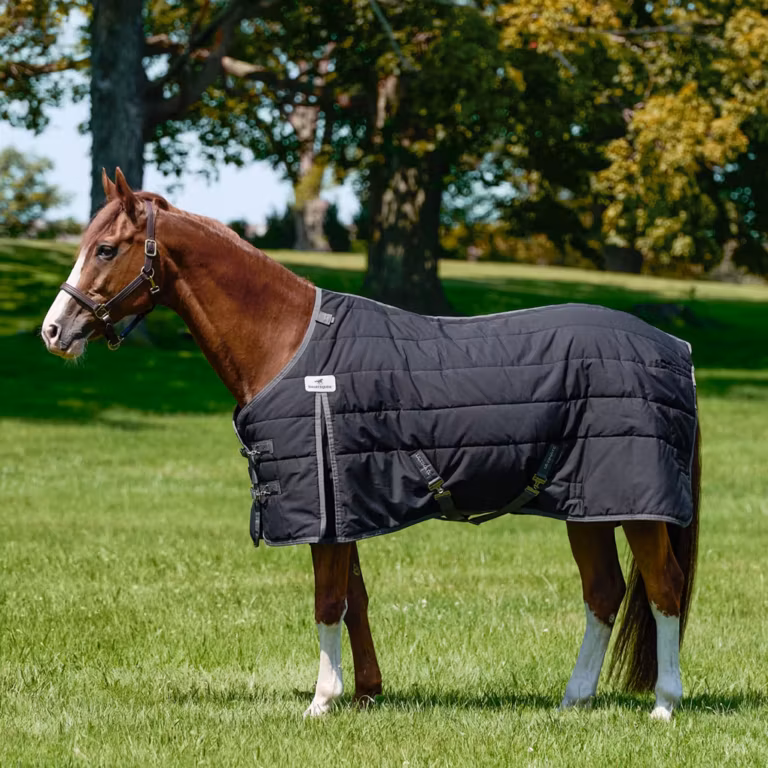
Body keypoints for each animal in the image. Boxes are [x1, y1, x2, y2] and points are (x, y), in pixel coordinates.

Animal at [41, 169, 700, 721]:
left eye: (106, 249)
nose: (54, 331)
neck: (290, 345)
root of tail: (675, 349)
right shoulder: (345, 505)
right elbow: (354, 598)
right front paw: (364, 694)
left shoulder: (325, 506)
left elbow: (328, 600)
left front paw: (321, 702)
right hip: (586, 505)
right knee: (604, 592)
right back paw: (574, 699)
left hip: (638, 507)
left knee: (663, 588)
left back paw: (664, 705)